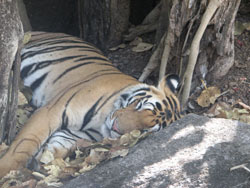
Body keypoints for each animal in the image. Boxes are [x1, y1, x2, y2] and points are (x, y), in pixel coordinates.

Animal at [0, 31, 182, 177]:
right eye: (139, 105)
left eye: (145, 130)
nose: (115, 128)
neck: (99, 123)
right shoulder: (51, 112)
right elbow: (23, 145)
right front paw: (6, 170)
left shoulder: (74, 134)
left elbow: (57, 147)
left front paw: (45, 162)